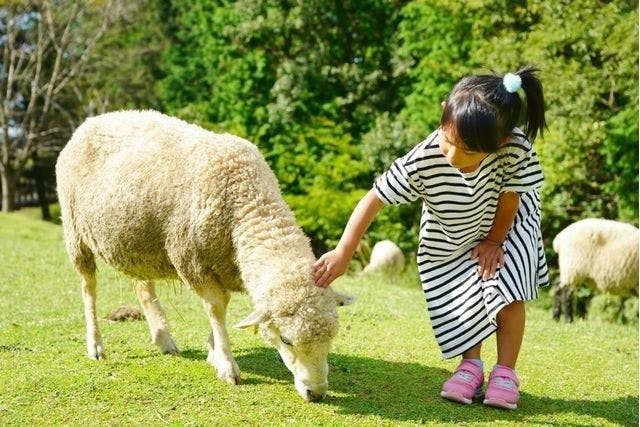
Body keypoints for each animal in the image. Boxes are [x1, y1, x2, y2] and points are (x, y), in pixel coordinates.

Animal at [55, 109, 356, 402]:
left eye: (332, 337)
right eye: (286, 339)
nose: (316, 394)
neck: (247, 199)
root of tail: (92, 121)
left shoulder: (225, 265)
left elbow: (221, 308)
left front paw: (213, 351)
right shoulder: (192, 261)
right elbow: (216, 308)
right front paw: (226, 364)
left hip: (136, 244)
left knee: (142, 287)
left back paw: (164, 339)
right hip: (75, 232)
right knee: (88, 288)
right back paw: (95, 345)